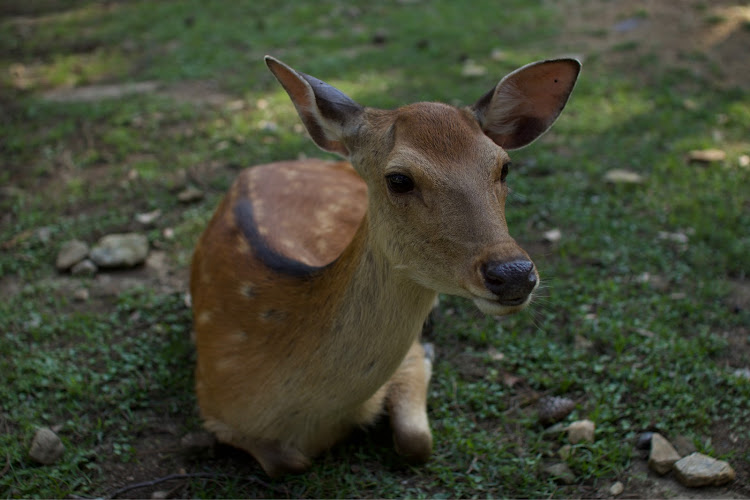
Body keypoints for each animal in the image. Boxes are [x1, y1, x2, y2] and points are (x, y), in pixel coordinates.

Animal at [189, 54, 580, 476]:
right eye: (399, 179)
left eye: (504, 167)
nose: (512, 274)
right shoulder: (215, 410)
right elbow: (286, 463)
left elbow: (417, 441)